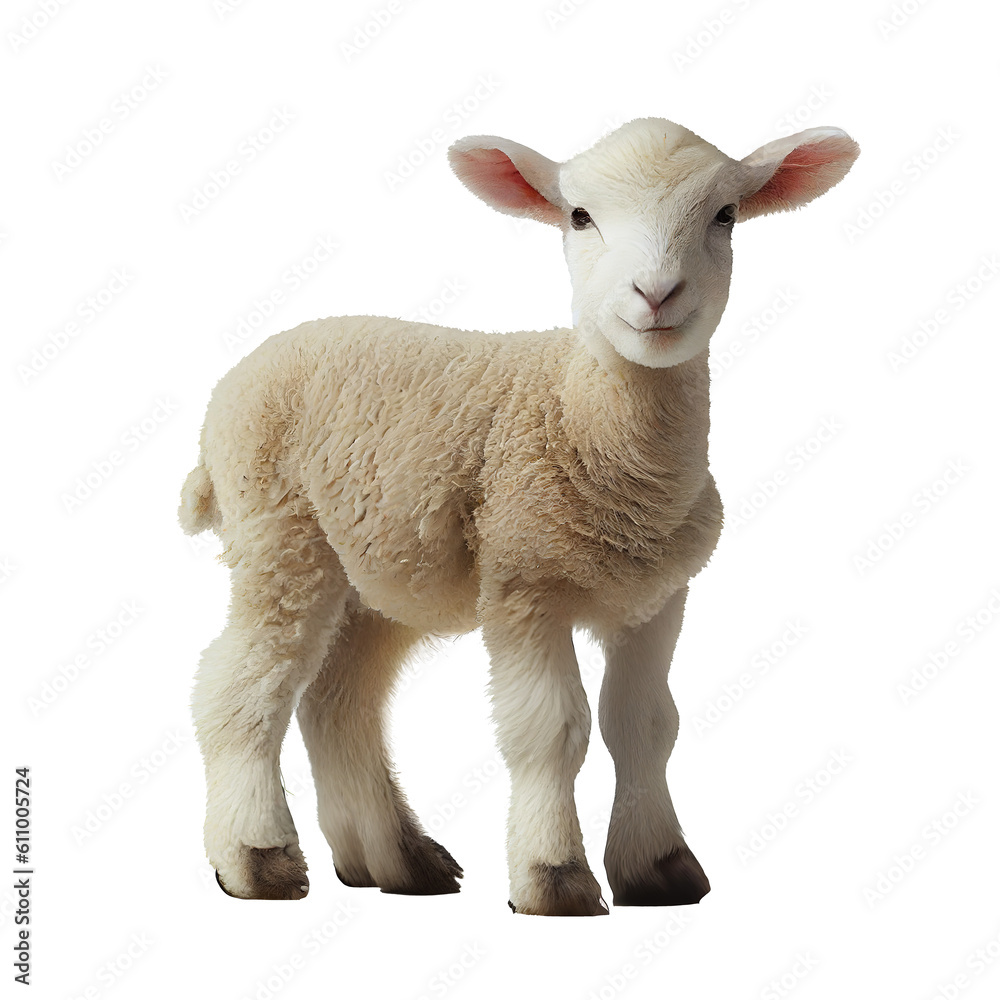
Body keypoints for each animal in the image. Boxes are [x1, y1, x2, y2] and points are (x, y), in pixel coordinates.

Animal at [179, 116, 858, 916]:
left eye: (725, 216)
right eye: (580, 216)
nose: (656, 293)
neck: (583, 419)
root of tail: (229, 387)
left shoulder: (658, 598)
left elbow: (646, 726)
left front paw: (657, 867)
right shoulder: (524, 579)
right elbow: (552, 730)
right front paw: (552, 876)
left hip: (380, 572)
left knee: (340, 702)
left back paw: (394, 861)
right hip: (280, 532)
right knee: (239, 685)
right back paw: (256, 858)